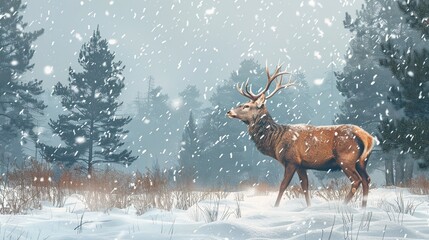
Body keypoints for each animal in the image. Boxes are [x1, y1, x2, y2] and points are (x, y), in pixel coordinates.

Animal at [226, 63, 372, 208]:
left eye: (246, 106)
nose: (229, 111)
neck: (275, 140)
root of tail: (368, 138)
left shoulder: (291, 160)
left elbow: (283, 185)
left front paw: (276, 207)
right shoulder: (302, 165)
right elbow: (305, 187)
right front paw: (308, 207)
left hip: (345, 158)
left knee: (356, 180)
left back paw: (344, 204)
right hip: (362, 161)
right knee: (366, 179)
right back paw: (363, 207)